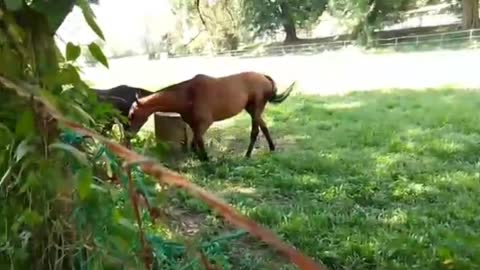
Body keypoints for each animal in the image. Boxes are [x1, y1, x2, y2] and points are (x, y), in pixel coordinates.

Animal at [125, 70, 294, 161]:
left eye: (132, 114)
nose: (128, 134)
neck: (188, 95)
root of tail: (264, 77)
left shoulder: (204, 123)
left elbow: (199, 141)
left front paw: (205, 160)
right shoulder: (193, 125)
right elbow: (194, 142)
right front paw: (198, 157)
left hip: (256, 109)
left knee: (257, 130)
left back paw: (251, 154)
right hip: (252, 110)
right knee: (261, 128)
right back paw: (265, 150)